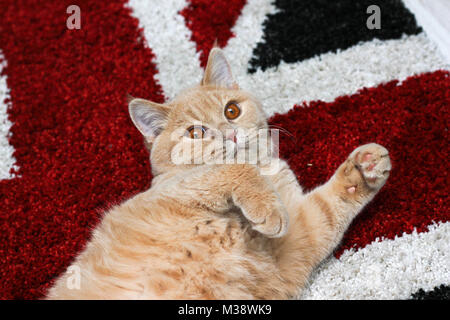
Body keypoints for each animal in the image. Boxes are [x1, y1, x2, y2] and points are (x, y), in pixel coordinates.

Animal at [45, 48, 390, 300]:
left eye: (231, 111)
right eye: (196, 133)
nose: (230, 135)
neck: (265, 173)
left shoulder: (293, 241)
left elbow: (331, 206)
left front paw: (365, 168)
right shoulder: (173, 190)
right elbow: (230, 169)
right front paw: (265, 205)